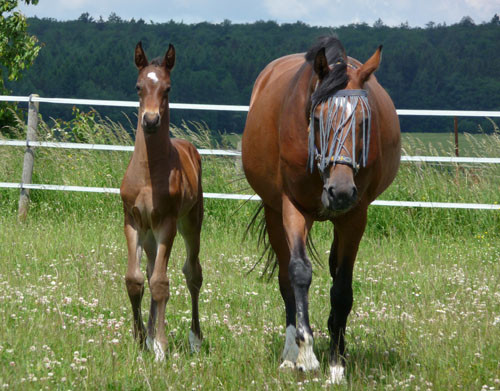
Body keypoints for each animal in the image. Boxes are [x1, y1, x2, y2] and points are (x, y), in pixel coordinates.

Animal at [240, 35, 400, 384]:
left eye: (365, 122)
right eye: (316, 119)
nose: (340, 192)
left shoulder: (355, 215)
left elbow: (341, 287)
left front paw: (337, 363)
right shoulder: (292, 207)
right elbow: (298, 273)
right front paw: (306, 354)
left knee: (333, 266)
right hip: (274, 213)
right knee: (286, 279)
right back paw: (290, 354)